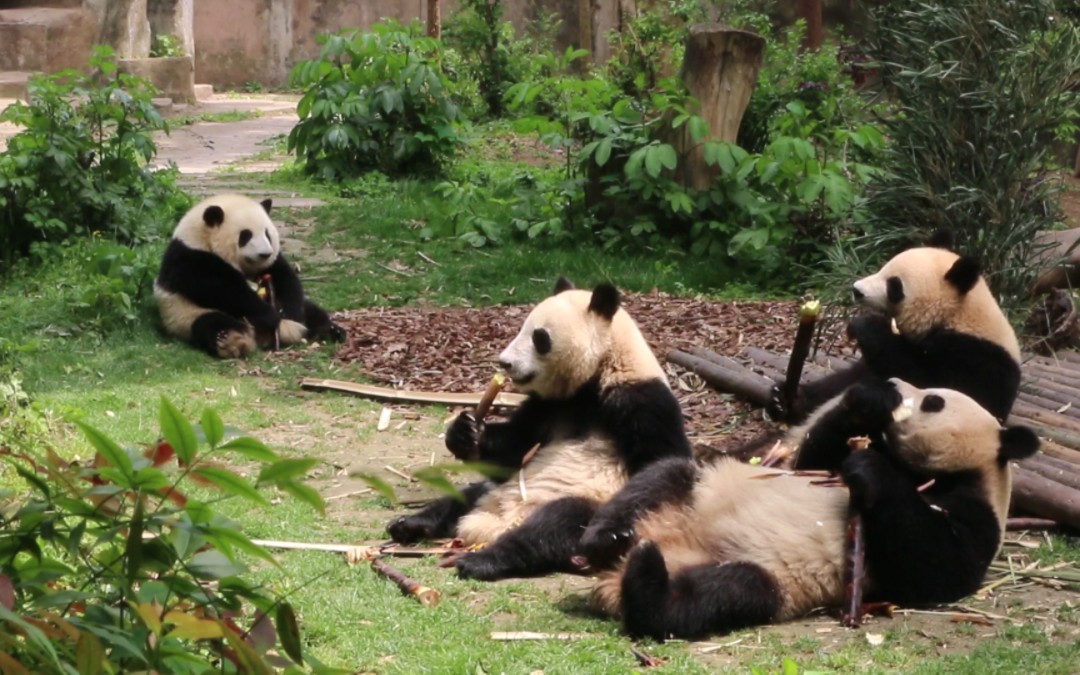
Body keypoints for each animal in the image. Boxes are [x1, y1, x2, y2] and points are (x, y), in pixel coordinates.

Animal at [152, 193, 343, 358]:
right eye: (246, 235)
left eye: (267, 233)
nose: (265, 253)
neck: (200, 237)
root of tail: (262, 338)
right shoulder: (189, 258)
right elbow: (222, 290)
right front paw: (269, 315)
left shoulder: (272, 264)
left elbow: (285, 278)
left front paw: (290, 312)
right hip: (185, 315)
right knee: (213, 324)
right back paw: (234, 342)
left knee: (312, 311)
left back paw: (331, 331)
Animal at [388, 278, 691, 578]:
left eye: (540, 337)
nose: (505, 362)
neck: (595, 376)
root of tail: (487, 526)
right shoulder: (548, 404)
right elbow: (515, 446)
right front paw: (466, 432)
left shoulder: (641, 399)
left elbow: (661, 463)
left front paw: (608, 537)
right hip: (493, 490)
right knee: (460, 498)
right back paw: (410, 525)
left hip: (578, 499)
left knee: (554, 525)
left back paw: (483, 559)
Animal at [587, 375, 1041, 639]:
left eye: (933, 401)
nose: (895, 382)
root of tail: (669, 542)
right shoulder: (817, 464)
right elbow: (813, 460)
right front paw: (869, 400)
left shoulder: (977, 515)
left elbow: (931, 567)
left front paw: (870, 470)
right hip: (698, 491)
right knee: (664, 478)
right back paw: (605, 537)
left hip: (766, 577)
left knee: (718, 596)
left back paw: (645, 578)